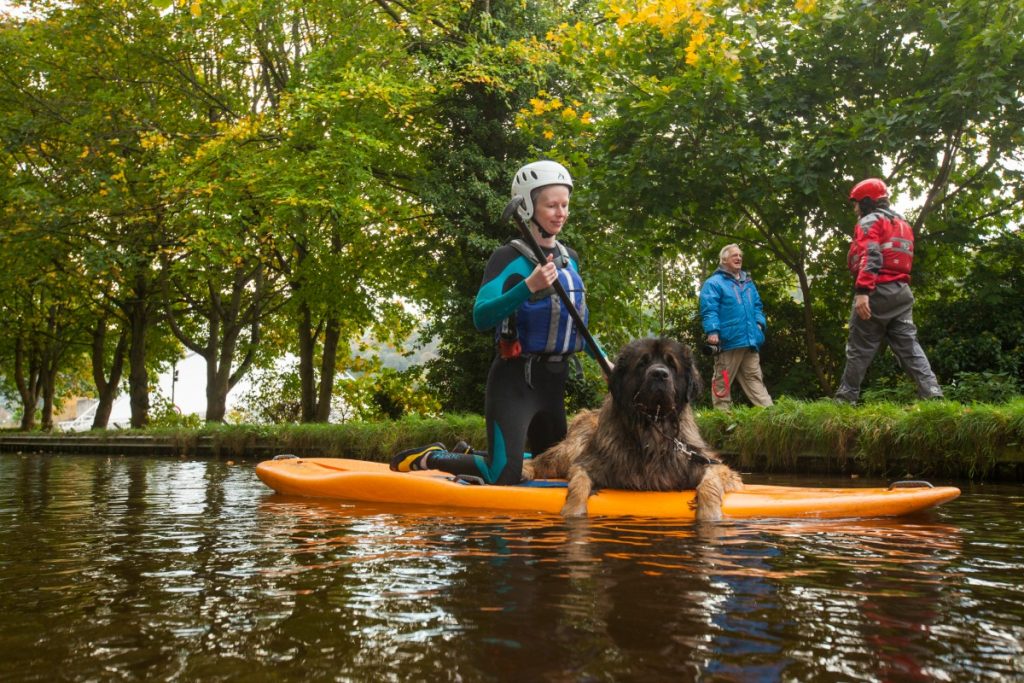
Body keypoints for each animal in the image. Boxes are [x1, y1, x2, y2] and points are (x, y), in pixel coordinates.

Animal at [524, 339, 741, 520]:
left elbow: (711, 482)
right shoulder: (587, 463)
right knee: (545, 460)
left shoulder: (705, 462)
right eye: (642, 363)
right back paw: (526, 469)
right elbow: (579, 483)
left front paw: (710, 514)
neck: (651, 429)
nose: (659, 373)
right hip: (573, 447)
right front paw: (573, 510)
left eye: (671, 364)